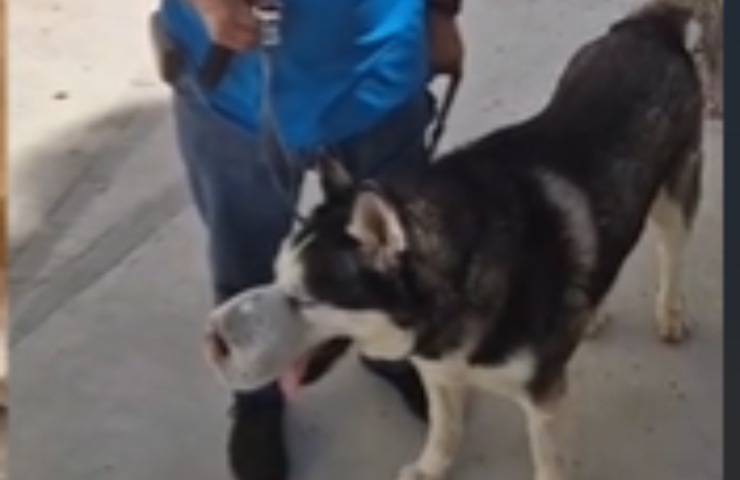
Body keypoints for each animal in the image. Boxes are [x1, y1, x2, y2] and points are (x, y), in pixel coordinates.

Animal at [205, 4, 704, 480]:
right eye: (274, 276)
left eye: (306, 299)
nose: (212, 341)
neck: (460, 277)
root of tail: (647, 26)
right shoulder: (437, 370)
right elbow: (445, 428)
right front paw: (431, 468)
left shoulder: (544, 401)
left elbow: (548, 462)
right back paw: (591, 310)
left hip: (673, 197)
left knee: (673, 251)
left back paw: (670, 312)